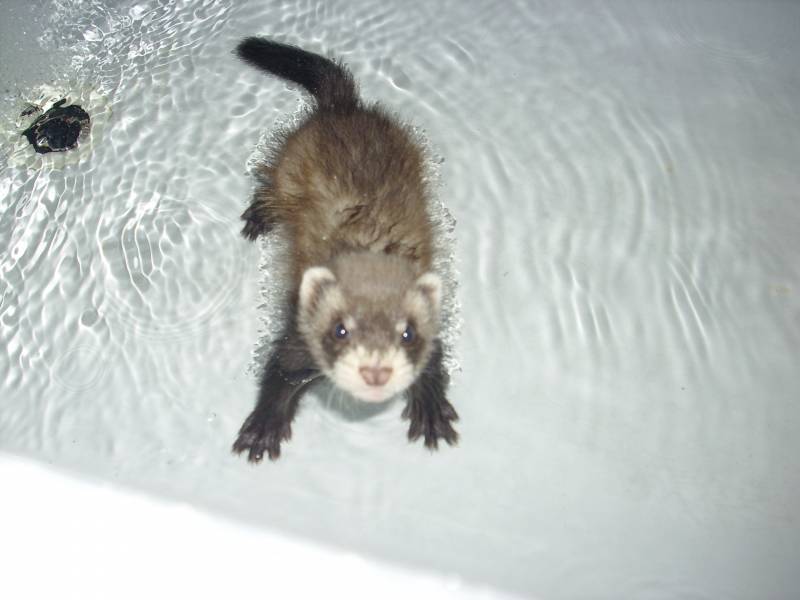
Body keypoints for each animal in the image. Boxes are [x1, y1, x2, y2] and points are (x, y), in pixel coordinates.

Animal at [232, 37, 458, 462]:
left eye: (408, 333)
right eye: (340, 330)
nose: (376, 371)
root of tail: (343, 105)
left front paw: (433, 410)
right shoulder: (297, 335)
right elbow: (279, 370)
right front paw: (263, 427)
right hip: (287, 174)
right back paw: (259, 216)